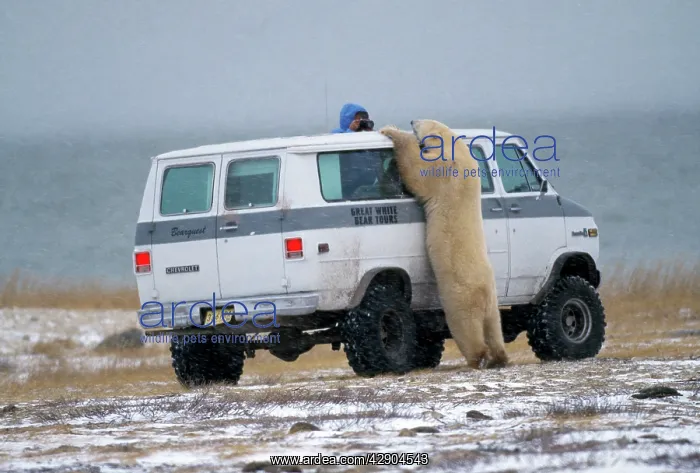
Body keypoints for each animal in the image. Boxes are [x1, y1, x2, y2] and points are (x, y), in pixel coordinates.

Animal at [379, 119, 509, 369]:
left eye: (420, 122)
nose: (412, 121)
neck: (455, 146)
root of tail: (485, 296)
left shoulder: (446, 169)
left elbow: (417, 170)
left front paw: (391, 130)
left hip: (461, 298)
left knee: (466, 328)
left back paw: (479, 358)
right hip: (493, 304)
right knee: (495, 328)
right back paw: (500, 356)